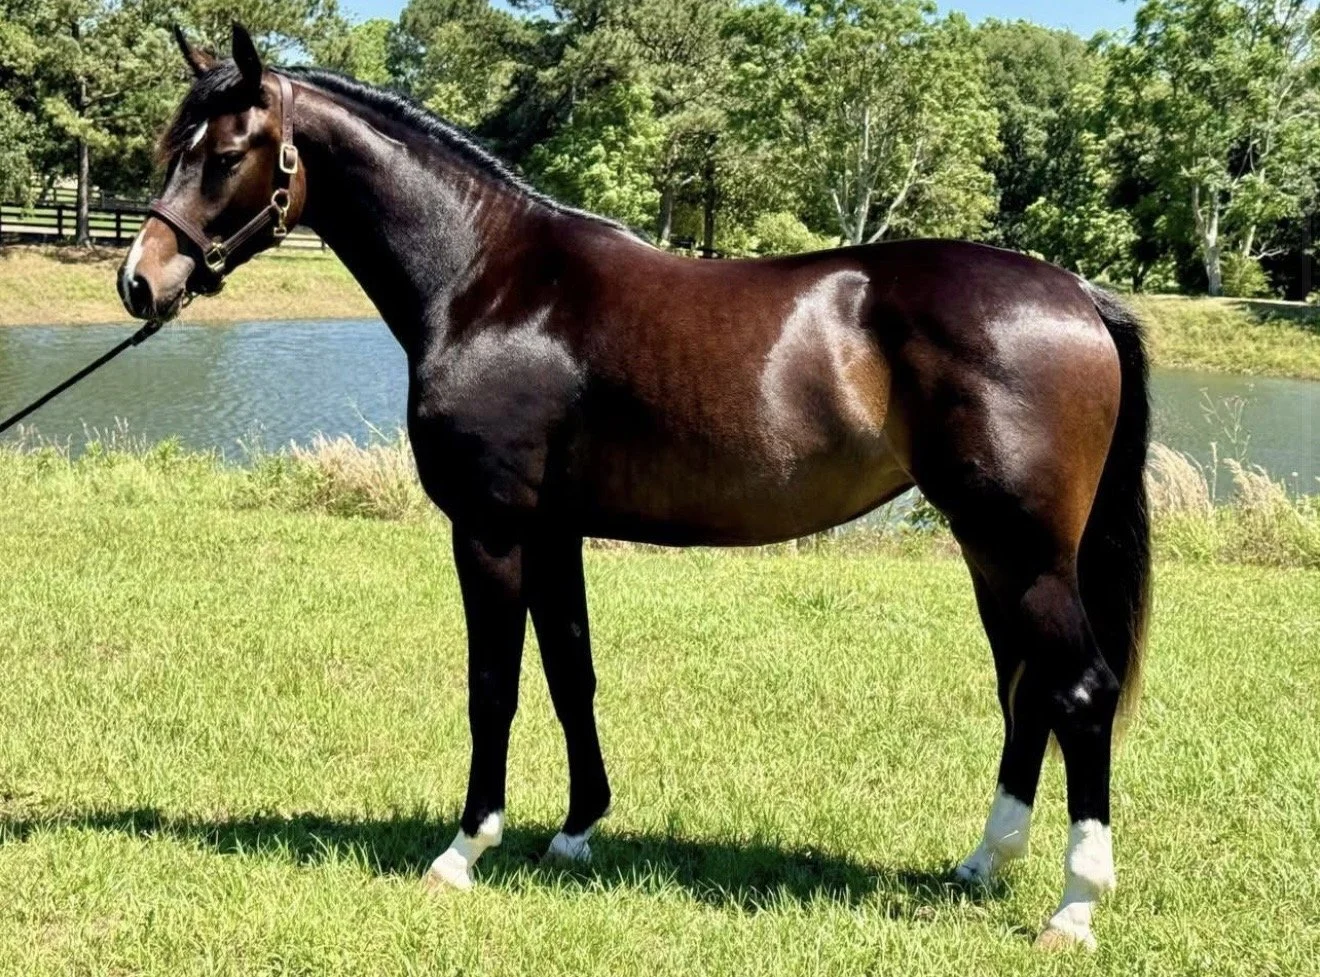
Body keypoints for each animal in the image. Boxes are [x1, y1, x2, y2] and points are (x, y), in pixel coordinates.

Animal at [118, 24, 1150, 951]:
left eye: (225, 154)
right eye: (176, 149)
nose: (139, 282)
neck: (487, 280)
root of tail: (1077, 294)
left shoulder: (490, 529)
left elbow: (493, 683)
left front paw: (464, 848)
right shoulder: (554, 532)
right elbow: (571, 674)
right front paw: (576, 830)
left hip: (1023, 550)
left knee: (1079, 691)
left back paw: (1074, 907)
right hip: (991, 550)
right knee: (1026, 688)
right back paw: (984, 861)